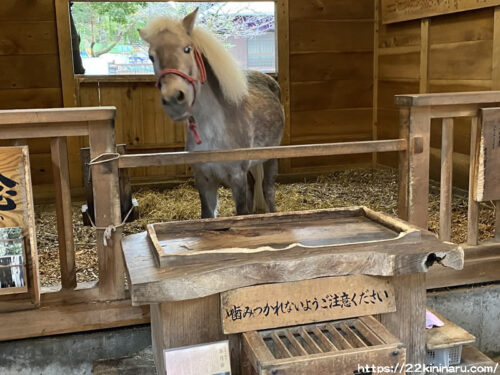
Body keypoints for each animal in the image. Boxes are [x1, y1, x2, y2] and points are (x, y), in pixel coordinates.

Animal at [139, 8, 284, 217]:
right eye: (151, 56)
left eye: (187, 49)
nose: (174, 99)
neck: (214, 129)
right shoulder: (204, 179)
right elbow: (208, 215)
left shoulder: (237, 178)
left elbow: (242, 211)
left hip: (271, 158)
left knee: (267, 189)